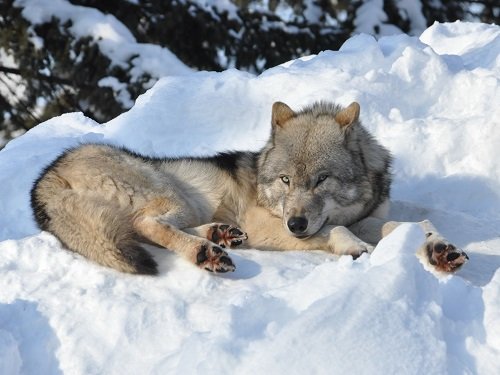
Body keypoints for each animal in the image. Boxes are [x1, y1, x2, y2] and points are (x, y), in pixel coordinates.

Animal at [30, 101, 468, 274]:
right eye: (286, 180)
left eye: (321, 180)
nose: (295, 224)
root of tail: (47, 174)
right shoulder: (265, 224)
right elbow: (338, 230)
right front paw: (354, 248)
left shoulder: (367, 217)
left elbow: (410, 225)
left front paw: (439, 248)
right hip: (171, 194)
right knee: (146, 225)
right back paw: (206, 251)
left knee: (153, 230)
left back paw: (219, 235)